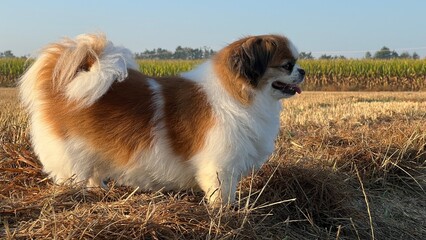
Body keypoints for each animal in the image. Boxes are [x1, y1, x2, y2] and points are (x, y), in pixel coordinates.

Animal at [20, 33, 304, 206]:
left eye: (295, 63)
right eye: (287, 65)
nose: (303, 71)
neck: (239, 94)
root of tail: (61, 85)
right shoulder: (220, 167)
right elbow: (220, 195)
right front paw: (224, 214)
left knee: (93, 174)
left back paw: (100, 190)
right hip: (73, 155)